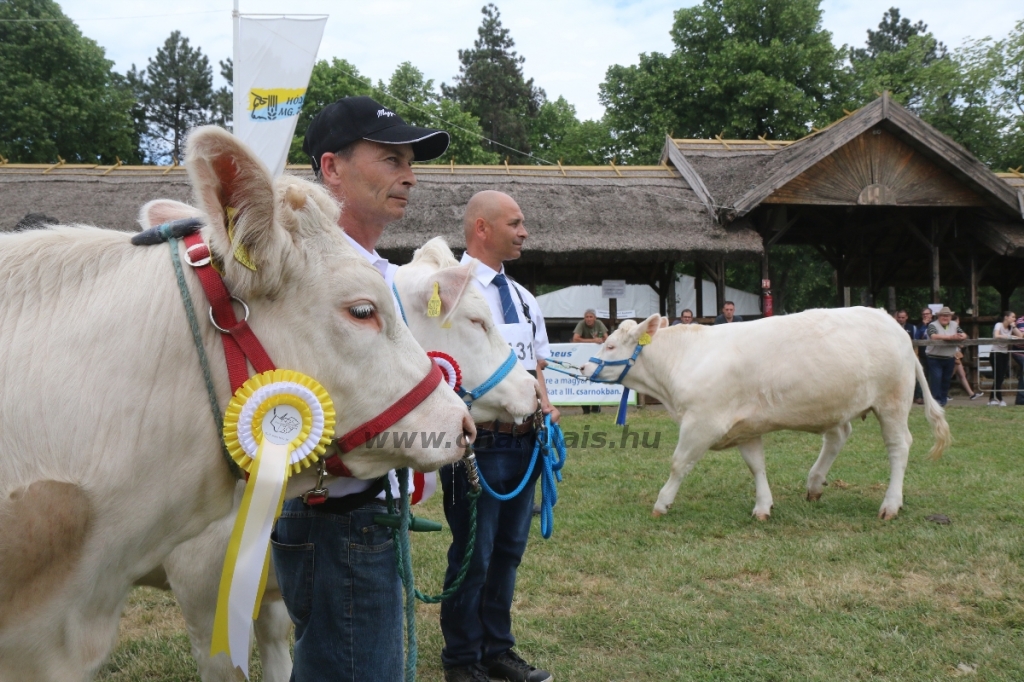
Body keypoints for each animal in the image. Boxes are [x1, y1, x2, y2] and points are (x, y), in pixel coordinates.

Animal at [585, 305, 950, 518]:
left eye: (611, 345)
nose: (583, 366)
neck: (685, 359)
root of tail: (891, 321)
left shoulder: (702, 422)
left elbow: (678, 463)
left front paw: (662, 503)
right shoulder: (745, 426)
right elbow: (756, 465)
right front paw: (763, 506)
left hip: (892, 401)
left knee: (898, 447)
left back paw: (890, 504)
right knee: (839, 436)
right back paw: (815, 483)